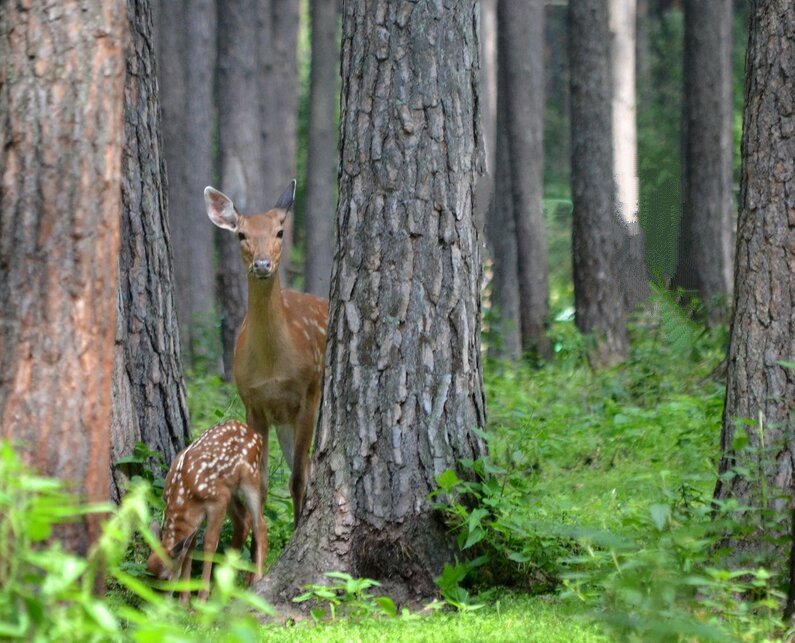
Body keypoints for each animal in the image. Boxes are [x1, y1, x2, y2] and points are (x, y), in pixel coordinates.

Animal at [149, 422, 270, 604]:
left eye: (165, 578)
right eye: (149, 578)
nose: (157, 604)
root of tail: (256, 435)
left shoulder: (216, 502)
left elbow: (209, 543)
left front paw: (200, 599)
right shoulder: (196, 517)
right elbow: (189, 548)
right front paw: (184, 599)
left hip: (249, 478)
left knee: (260, 525)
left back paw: (256, 579)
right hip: (230, 491)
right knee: (244, 521)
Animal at [205, 179, 330, 536]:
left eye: (280, 232)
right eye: (241, 234)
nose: (262, 264)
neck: (274, 366)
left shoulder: (309, 391)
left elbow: (298, 478)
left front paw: (295, 533)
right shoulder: (253, 402)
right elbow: (260, 485)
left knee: (305, 468)